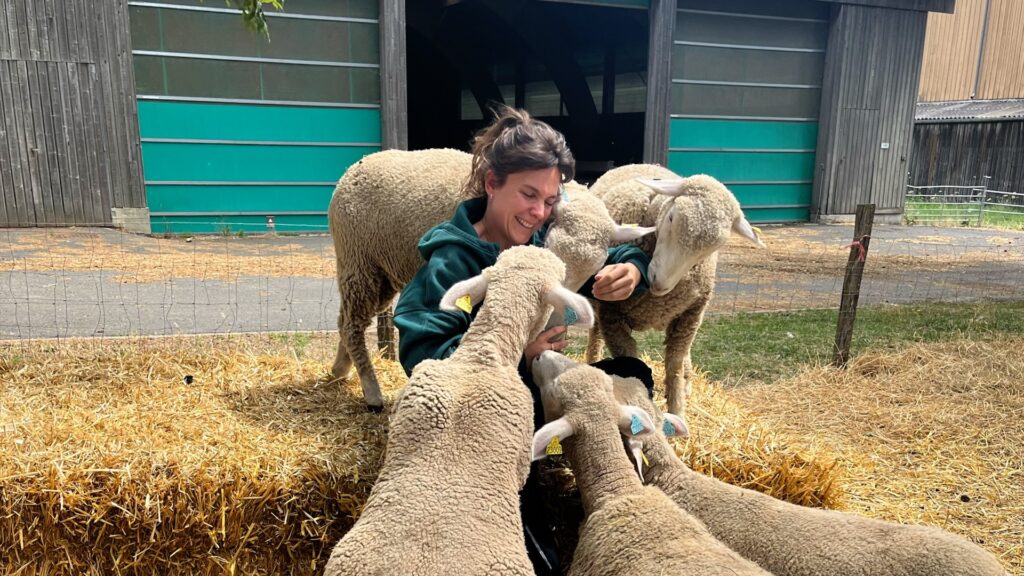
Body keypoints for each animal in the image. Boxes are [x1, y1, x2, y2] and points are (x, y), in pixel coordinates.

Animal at [323, 150, 651, 405]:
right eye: (548, 247)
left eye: (591, 271)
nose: (554, 326)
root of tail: (352, 169)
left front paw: (624, 275)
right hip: (357, 259)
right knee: (352, 324)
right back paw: (371, 392)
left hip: (378, 269)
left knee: (344, 320)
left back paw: (339, 370)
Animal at [589, 162, 765, 416]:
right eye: (672, 217)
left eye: (713, 248)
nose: (659, 283)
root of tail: (642, 164)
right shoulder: (611, 317)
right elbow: (630, 363)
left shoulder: (690, 316)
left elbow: (674, 365)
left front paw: (677, 411)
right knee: (594, 334)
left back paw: (688, 382)